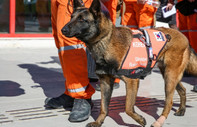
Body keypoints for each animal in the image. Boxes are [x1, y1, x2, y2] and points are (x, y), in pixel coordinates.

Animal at [61, 0, 197, 126]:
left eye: (82, 19)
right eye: (71, 17)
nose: (63, 29)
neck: (105, 40)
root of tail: (183, 36)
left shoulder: (132, 81)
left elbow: (128, 108)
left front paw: (140, 120)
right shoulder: (105, 83)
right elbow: (104, 107)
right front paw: (98, 122)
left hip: (170, 77)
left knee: (169, 101)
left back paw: (160, 121)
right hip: (169, 75)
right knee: (183, 90)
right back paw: (181, 110)